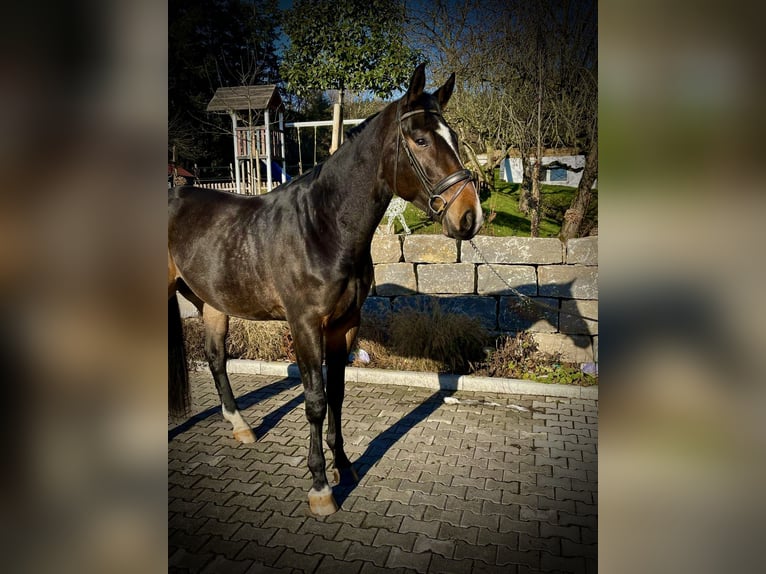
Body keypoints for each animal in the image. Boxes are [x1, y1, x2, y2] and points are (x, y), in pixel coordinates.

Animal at [170, 64, 486, 516]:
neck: (323, 227)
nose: (469, 216)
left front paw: (346, 468)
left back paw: (241, 427)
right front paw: (320, 486)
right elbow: (316, 401)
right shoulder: (304, 326)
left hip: (212, 303)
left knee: (215, 360)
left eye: (455, 137)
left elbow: (336, 394)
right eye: (421, 140)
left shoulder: (344, 325)